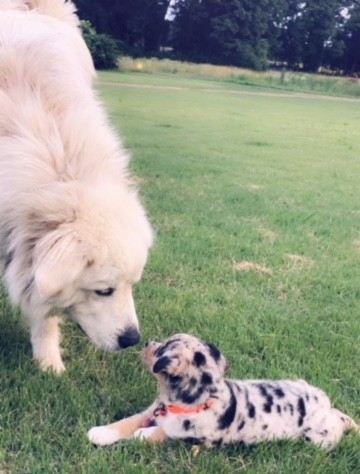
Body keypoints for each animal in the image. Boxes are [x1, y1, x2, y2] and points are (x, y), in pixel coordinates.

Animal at [88, 332, 360, 450]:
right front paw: (100, 433)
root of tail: (326, 405)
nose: (147, 343)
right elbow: (127, 421)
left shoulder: (194, 438)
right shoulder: (151, 410)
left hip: (319, 437)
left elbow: (161, 433)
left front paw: (142, 435)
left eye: (161, 350)